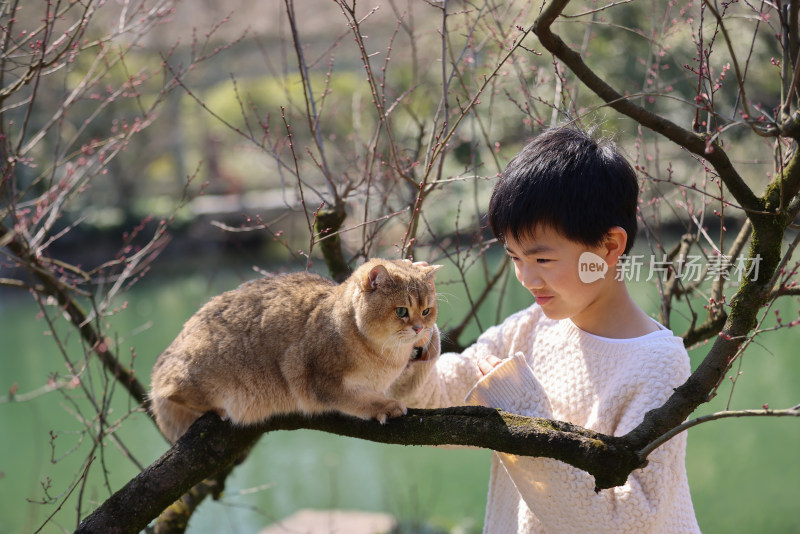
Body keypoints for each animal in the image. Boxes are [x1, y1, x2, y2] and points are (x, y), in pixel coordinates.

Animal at [150, 260, 444, 444]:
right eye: (401, 311)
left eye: (426, 311)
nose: (420, 328)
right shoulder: (319, 379)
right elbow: (360, 400)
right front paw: (386, 406)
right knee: (169, 390)